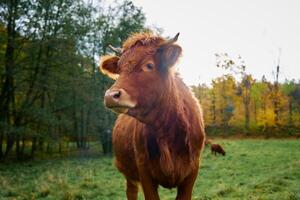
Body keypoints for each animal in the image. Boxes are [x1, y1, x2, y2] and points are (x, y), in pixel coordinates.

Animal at [99, 32, 205, 200]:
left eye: (149, 65)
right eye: (119, 69)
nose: (110, 95)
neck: (167, 132)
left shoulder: (192, 171)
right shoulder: (144, 171)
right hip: (127, 171)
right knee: (131, 191)